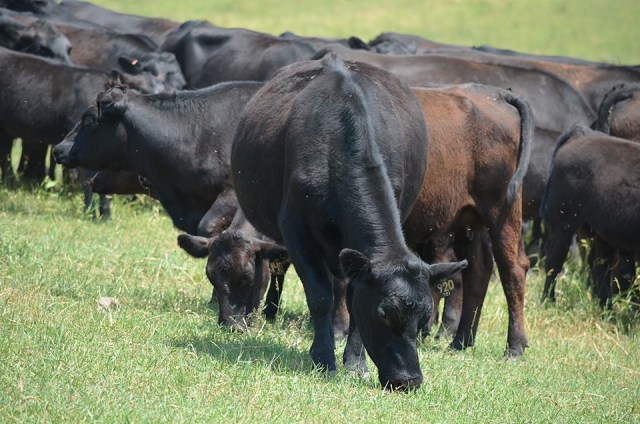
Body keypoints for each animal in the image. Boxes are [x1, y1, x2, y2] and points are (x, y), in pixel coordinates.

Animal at [230, 54, 467, 390]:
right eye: (384, 314)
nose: (408, 380)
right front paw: (323, 358)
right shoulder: (296, 232)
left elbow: (353, 297)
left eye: (424, 319)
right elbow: (320, 295)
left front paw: (355, 363)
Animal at [541, 126, 640, 305]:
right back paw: (548, 301)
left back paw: (607, 307)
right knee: (554, 262)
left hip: (601, 233)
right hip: (563, 222)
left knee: (600, 268)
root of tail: (582, 134)